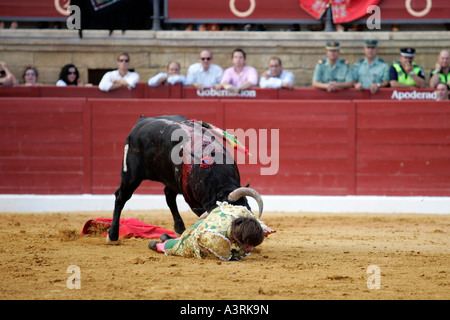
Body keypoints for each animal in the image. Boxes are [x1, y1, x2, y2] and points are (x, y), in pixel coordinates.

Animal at [107, 115, 262, 242]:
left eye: (247, 209)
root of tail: (141, 121)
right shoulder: (192, 200)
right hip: (130, 175)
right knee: (121, 197)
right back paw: (112, 235)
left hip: (171, 179)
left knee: (169, 196)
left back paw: (179, 229)